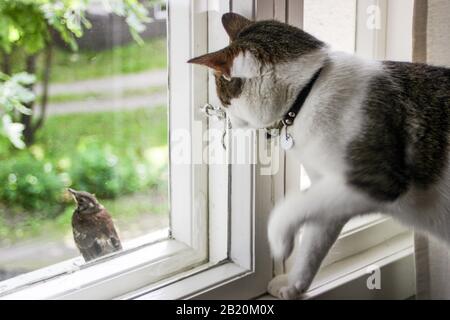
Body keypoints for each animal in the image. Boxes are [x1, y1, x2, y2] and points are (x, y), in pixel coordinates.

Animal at [188, 11, 450, 298]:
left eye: (223, 99)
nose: (226, 119)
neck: (309, 90)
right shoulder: (331, 190)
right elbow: (314, 240)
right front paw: (293, 284)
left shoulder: (375, 180)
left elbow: (289, 208)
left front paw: (280, 241)